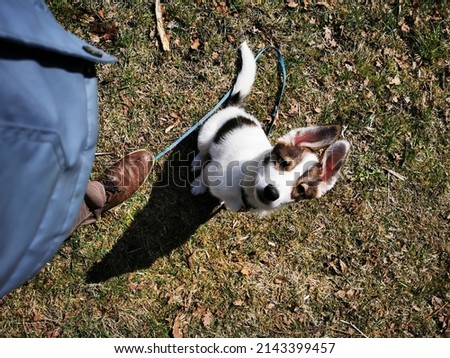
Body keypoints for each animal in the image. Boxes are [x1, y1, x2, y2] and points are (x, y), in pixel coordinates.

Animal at [192, 43, 350, 214]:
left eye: (301, 189)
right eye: (283, 162)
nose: (271, 192)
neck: (245, 187)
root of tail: (236, 109)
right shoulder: (212, 169)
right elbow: (204, 175)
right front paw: (198, 185)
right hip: (205, 135)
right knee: (203, 150)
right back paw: (197, 161)